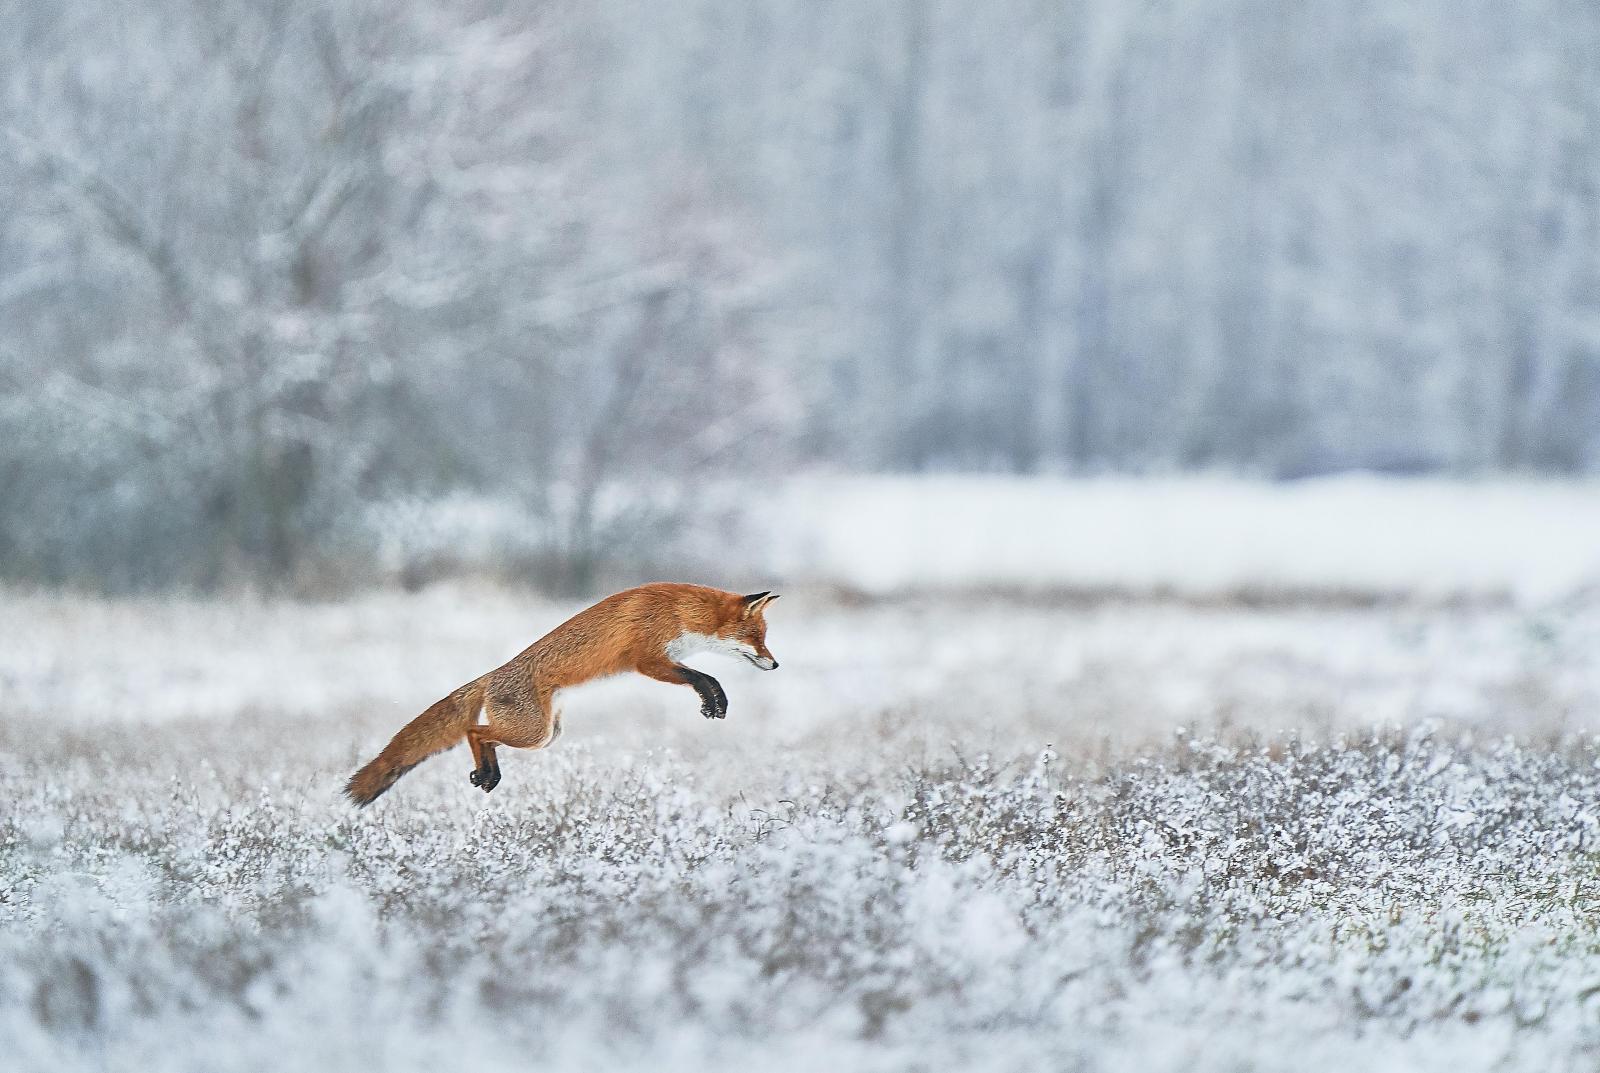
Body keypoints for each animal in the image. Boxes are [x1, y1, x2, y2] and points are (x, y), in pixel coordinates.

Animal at [344, 588, 780, 805]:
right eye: (757, 638)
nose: (775, 665)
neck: (680, 611)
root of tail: (491, 675)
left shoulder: (662, 659)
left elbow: (701, 674)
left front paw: (714, 702)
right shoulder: (647, 660)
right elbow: (703, 676)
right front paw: (713, 701)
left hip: (546, 735)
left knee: (483, 735)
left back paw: (487, 774)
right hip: (533, 733)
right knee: (474, 731)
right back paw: (487, 773)